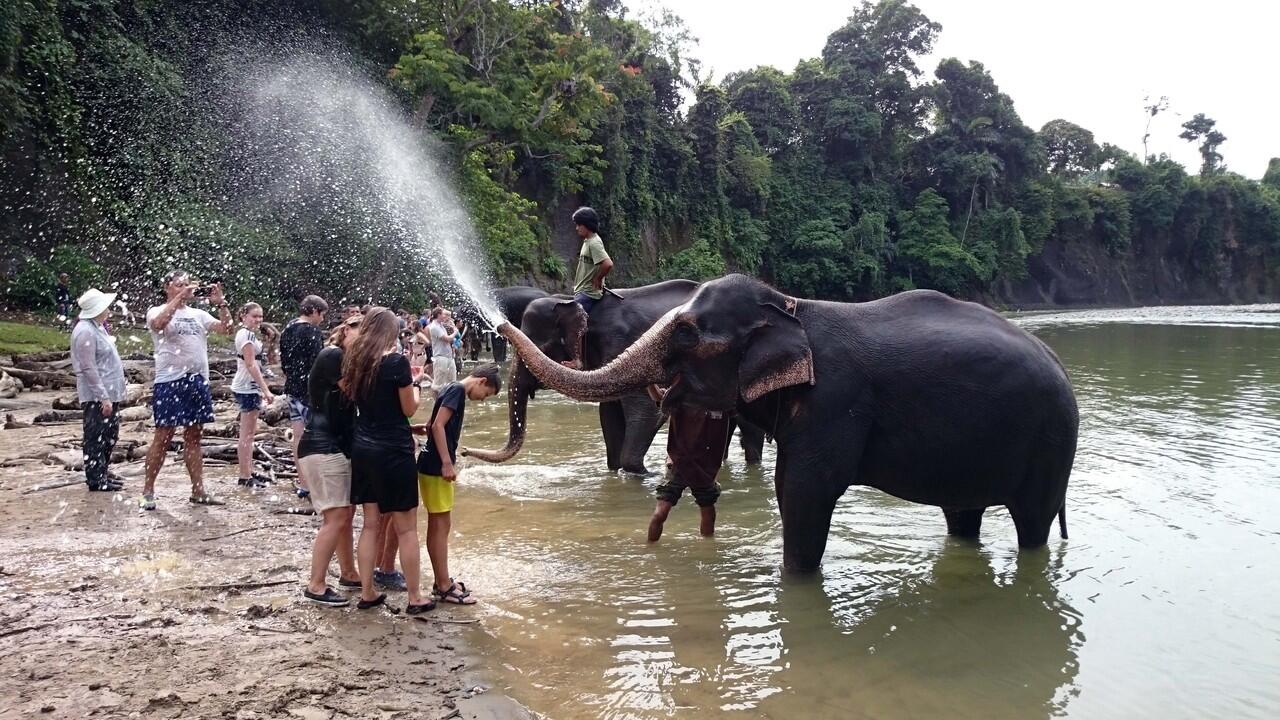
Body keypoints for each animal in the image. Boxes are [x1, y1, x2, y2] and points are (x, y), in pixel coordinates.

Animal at [460, 279, 762, 471]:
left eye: (540, 347)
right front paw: (617, 472)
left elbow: (646, 411)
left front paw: (644, 474)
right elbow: (609, 416)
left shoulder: (624, 342)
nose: (463, 450)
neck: (571, 301)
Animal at [494, 271, 1075, 568]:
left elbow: (802, 489)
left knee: (1032, 523)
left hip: (1051, 443)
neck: (792, 307)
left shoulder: (834, 399)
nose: (498, 326)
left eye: (685, 334)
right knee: (962, 514)